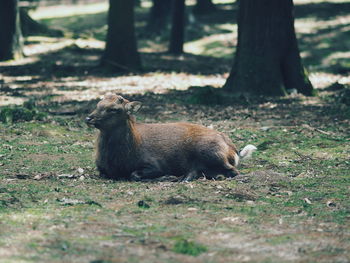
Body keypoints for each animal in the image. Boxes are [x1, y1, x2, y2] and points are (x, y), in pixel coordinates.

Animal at [85, 94, 254, 183]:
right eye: (98, 103)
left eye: (114, 109)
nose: (88, 118)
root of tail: (234, 150)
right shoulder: (101, 168)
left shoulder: (155, 162)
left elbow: (134, 174)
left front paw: (164, 175)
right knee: (195, 172)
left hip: (211, 152)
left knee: (233, 171)